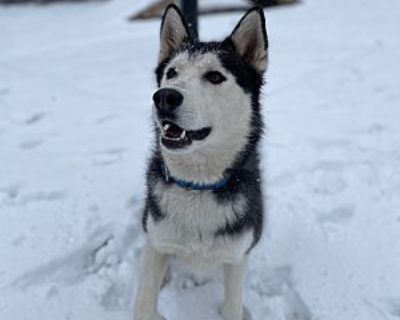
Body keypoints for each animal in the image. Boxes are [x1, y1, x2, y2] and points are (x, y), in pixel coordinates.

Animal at [134, 5, 268, 320]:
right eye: (172, 72)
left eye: (215, 76)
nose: (164, 97)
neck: (197, 186)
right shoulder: (157, 242)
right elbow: (144, 305)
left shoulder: (237, 256)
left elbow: (232, 307)